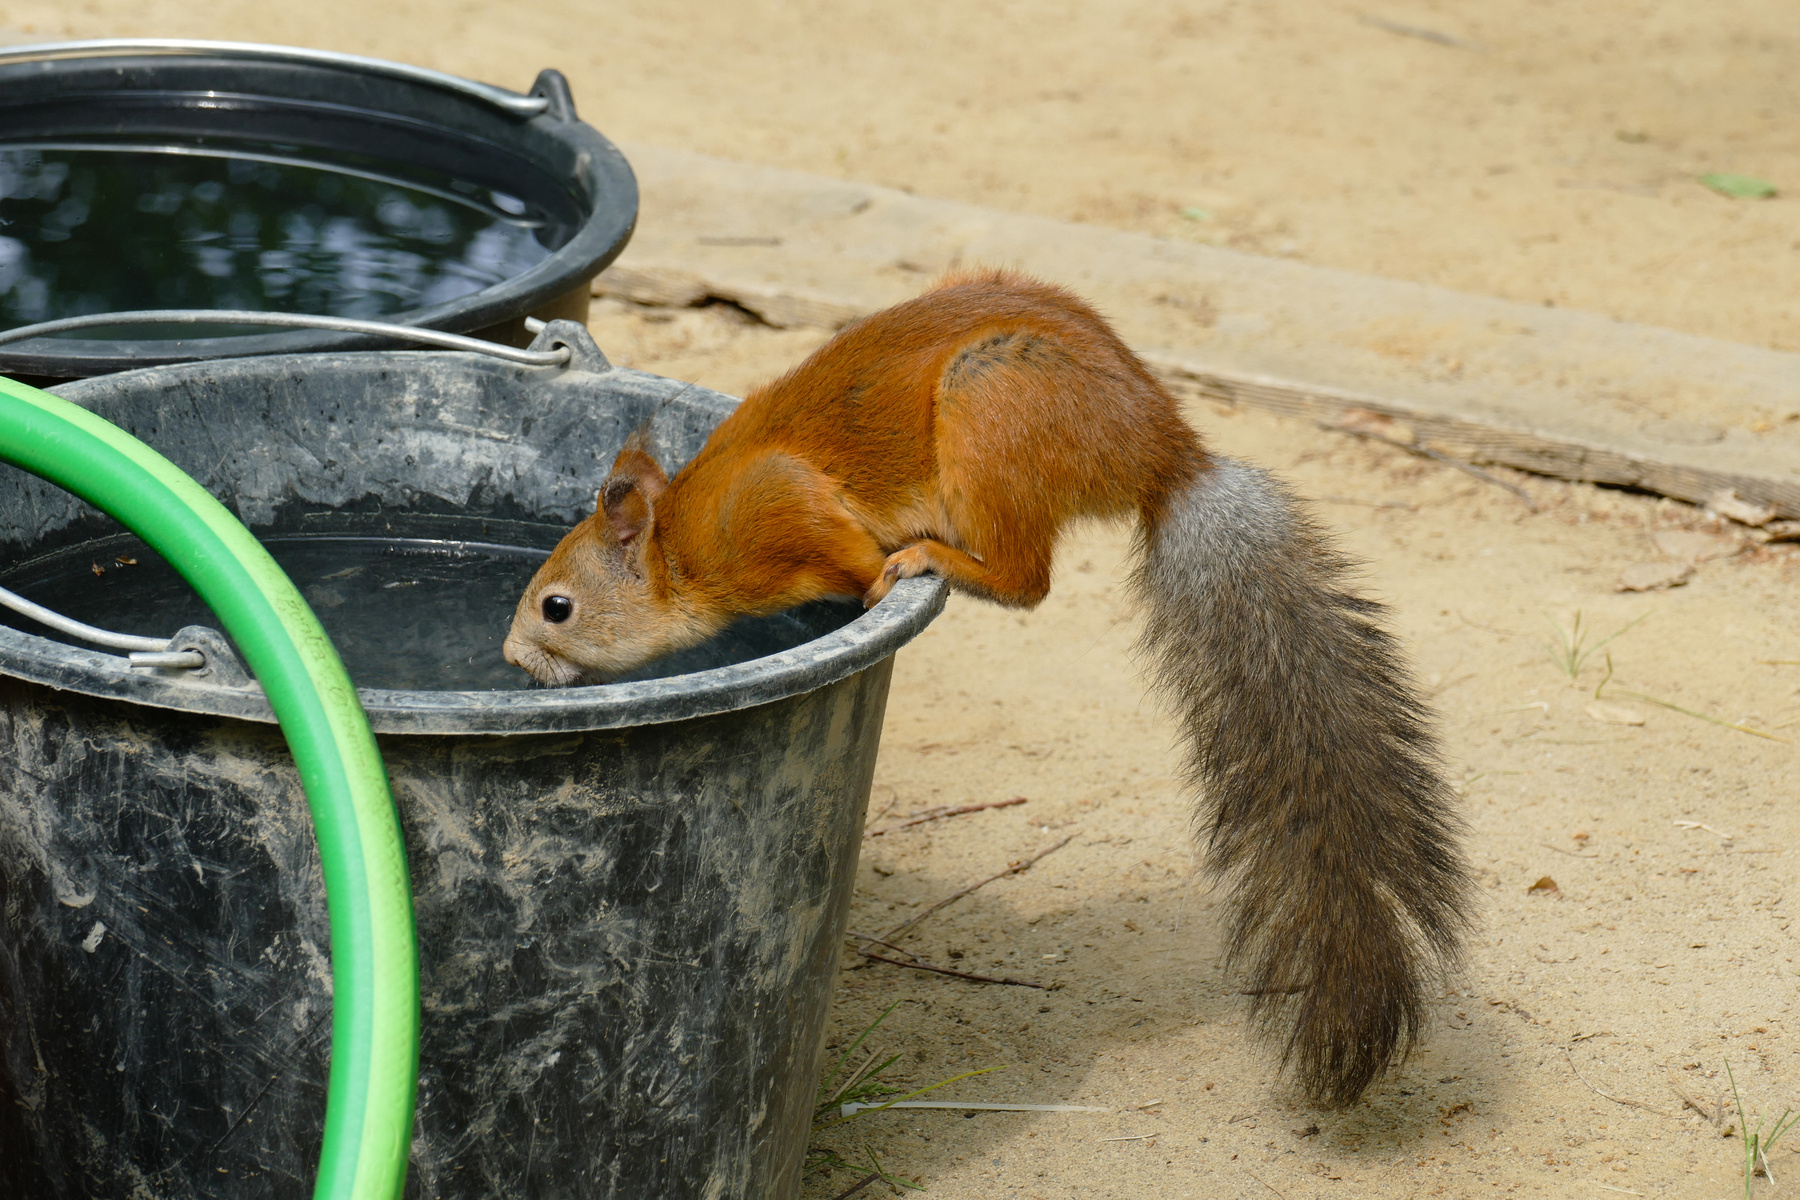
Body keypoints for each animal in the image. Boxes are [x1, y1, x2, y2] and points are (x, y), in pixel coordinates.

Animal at [503, 269, 1471, 1107]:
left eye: (557, 607)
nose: (513, 662)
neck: (684, 549)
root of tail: (1166, 454)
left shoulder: (786, 507)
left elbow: (850, 555)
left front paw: (878, 580)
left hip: (994, 404)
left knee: (1027, 579)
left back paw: (936, 558)